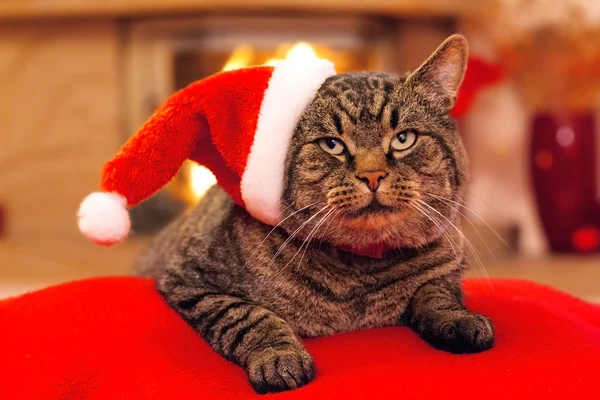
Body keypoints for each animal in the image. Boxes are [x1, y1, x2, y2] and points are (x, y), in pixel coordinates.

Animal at [134, 35, 494, 396]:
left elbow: (437, 292)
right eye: (332, 145)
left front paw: (459, 319)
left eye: (404, 139)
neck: (360, 271)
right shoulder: (189, 280)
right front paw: (279, 355)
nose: (372, 175)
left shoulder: (447, 266)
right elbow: (249, 316)